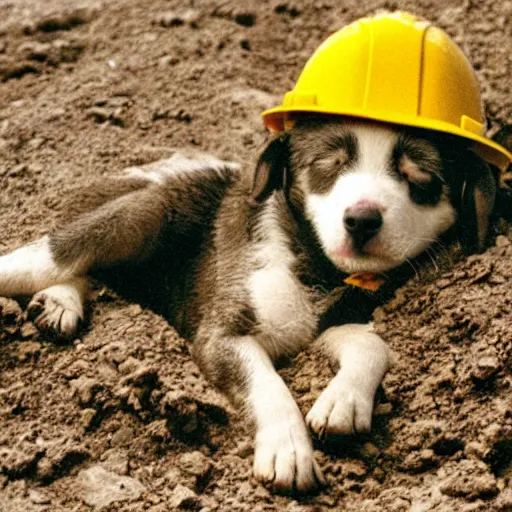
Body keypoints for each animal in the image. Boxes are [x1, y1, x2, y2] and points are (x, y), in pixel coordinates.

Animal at [0, 117, 504, 492]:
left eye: (420, 176)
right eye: (328, 164)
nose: (361, 219)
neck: (315, 265)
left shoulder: (331, 325)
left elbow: (371, 345)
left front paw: (342, 402)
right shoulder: (221, 333)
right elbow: (266, 381)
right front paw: (288, 449)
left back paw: (59, 301)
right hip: (152, 210)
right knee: (61, 249)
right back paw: (55, 295)